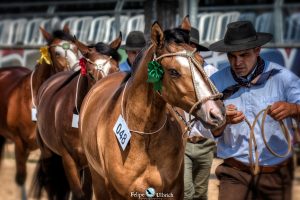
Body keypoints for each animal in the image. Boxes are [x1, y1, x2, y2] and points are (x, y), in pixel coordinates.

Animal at [31, 34, 122, 200]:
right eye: (91, 74)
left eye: (116, 70)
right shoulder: (68, 159)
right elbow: (78, 194)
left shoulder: (92, 164)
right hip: (48, 154)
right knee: (51, 184)